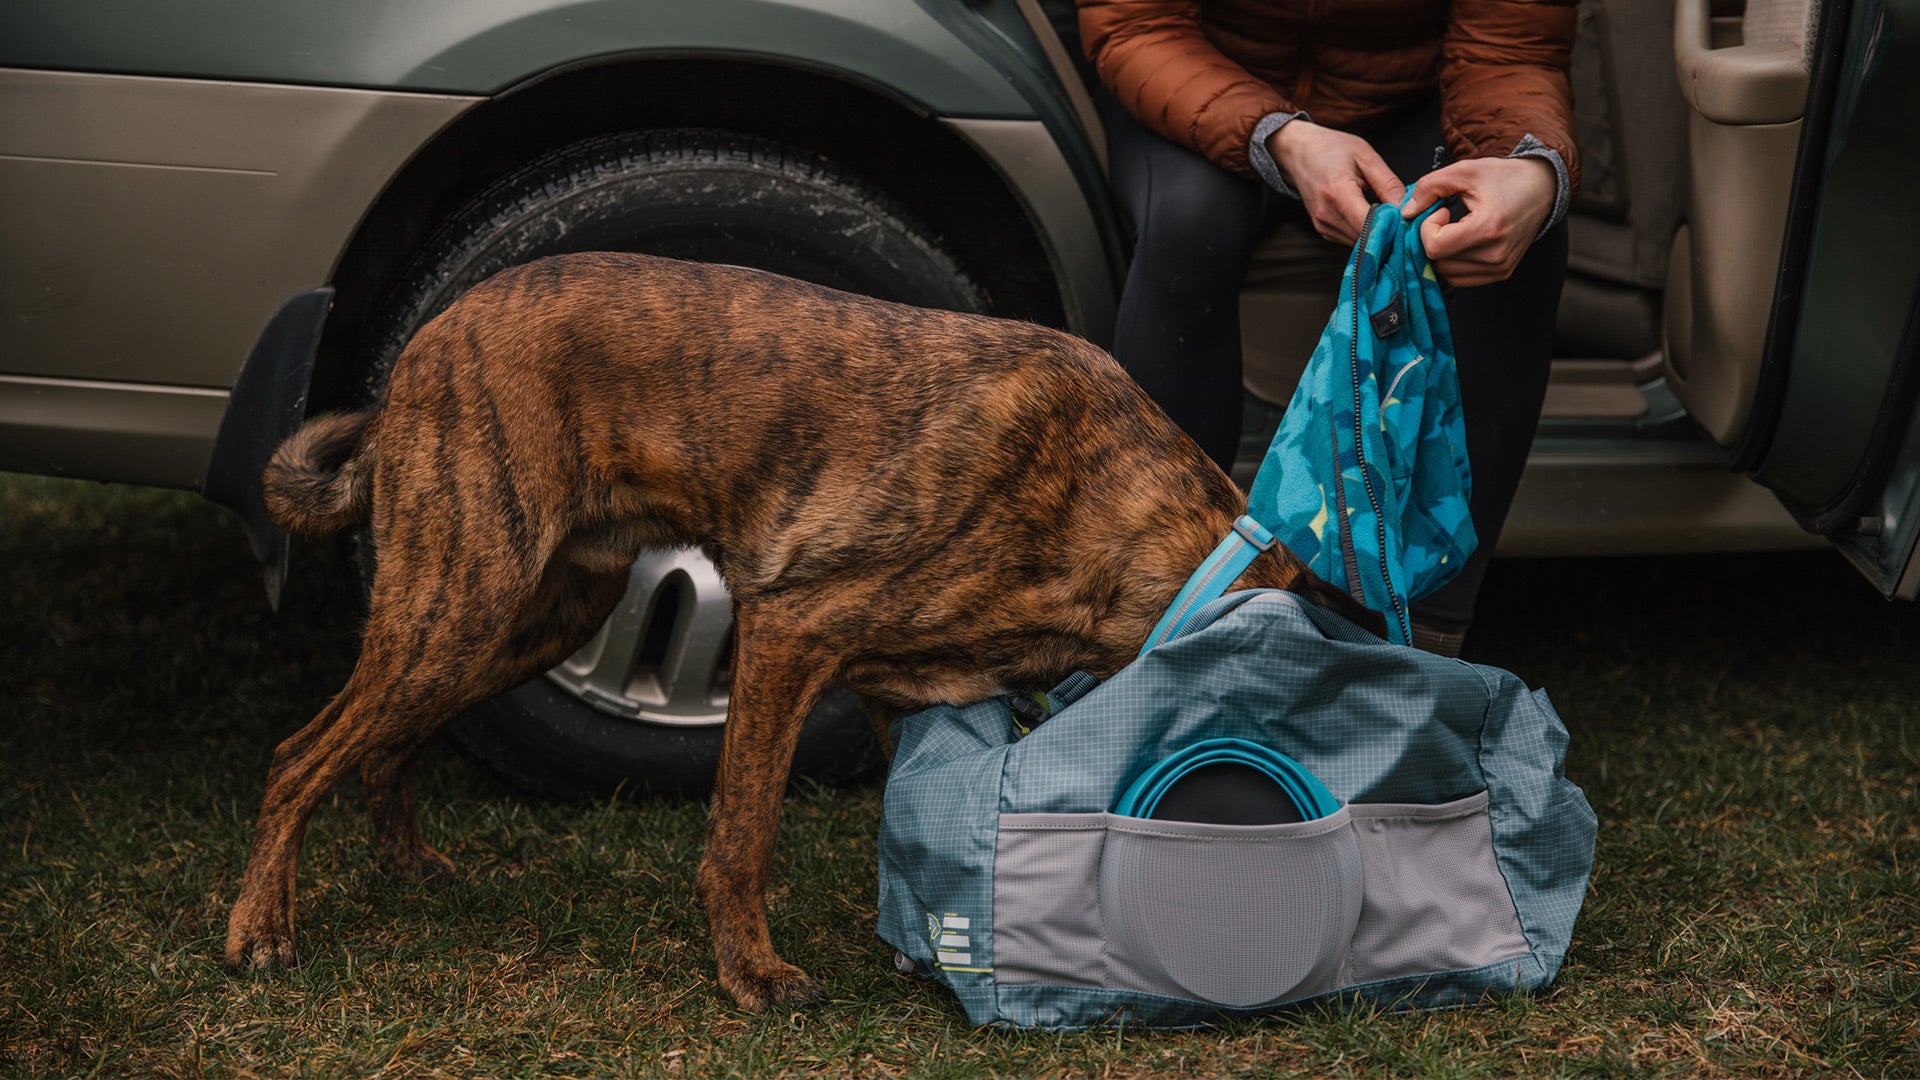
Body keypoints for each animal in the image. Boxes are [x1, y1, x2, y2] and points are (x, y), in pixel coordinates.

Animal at [228, 251, 1382, 1006]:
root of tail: (421, 347)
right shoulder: (788, 634)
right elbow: (744, 834)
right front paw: (753, 974)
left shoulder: (897, 694)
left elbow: (908, 835)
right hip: (460, 598)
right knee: (298, 753)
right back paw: (260, 929)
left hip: (526, 619)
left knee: (380, 742)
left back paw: (402, 860)